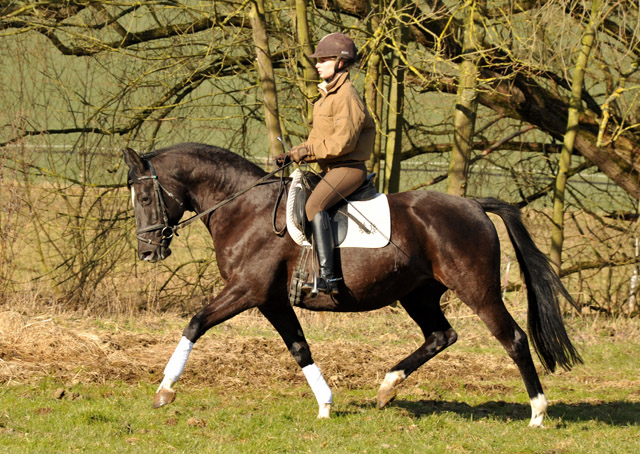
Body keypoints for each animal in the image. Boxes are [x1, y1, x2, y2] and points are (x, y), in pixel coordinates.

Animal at [122, 144, 584, 428]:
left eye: (143, 198)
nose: (147, 252)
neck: (244, 208)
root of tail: (473, 204)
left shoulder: (247, 290)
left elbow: (196, 323)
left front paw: (165, 390)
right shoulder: (272, 299)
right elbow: (299, 348)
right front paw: (326, 404)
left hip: (477, 290)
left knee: (513, 339)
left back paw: (538, 413)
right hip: (417, 294)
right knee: (441, 335)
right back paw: (387, 387)